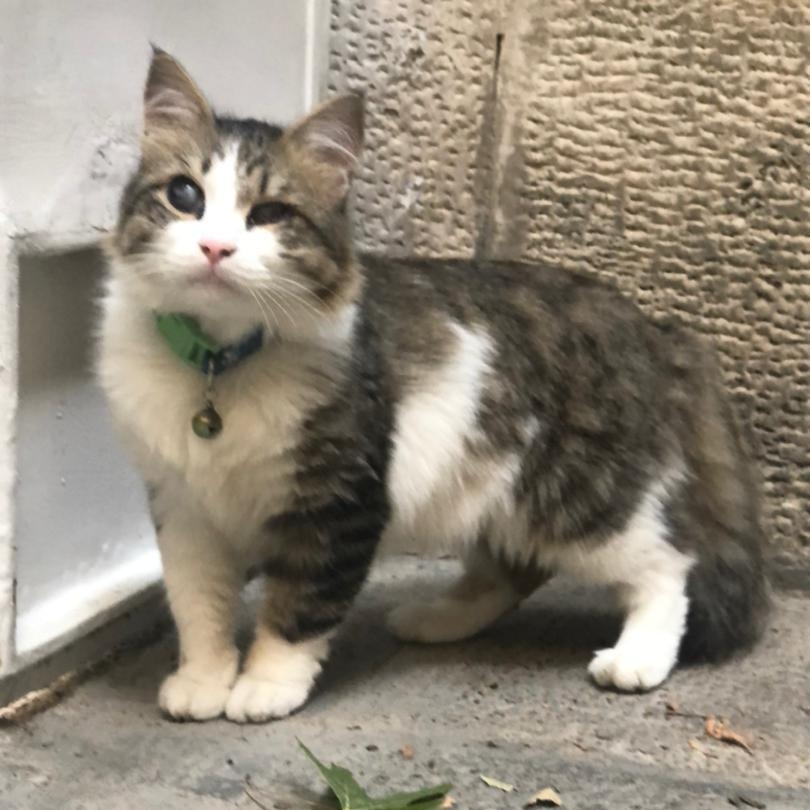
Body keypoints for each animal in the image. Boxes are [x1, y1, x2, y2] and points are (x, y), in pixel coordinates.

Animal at [94, 49, 764, 720]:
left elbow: (298, 608)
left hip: (579, 500)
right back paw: (438, 620)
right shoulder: (183, 507)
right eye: (184, 195)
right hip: (496, 499)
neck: (217, 365)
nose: (215, 247)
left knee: (669, 564)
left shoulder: (339, 502)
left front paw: (266, 684)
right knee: (513, 572)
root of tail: (656, 328)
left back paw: (637, 658)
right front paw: (205, 680)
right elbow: (198, 606)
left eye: (270, 215)